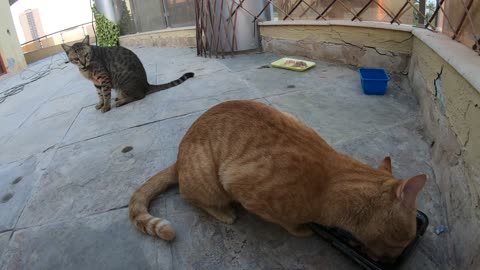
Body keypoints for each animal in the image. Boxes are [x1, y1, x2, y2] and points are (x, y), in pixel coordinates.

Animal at [62, 35, 193, 112]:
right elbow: (100, 94)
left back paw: (120, 101)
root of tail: (146, 85)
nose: (83, 63)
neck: (86, 69)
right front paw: (100, 103)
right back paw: (119, 98)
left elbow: (106, 94)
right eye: (76, 59)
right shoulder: (97, 82)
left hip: (124, 83)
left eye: (86, 55)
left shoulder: (103, 78)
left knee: (138, 96)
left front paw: (106, 106)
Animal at [128, 99, 428, 262]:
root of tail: (178, 156)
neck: (330, 184)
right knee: (192, 197)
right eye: (406, 238)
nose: (395, 258)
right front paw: (302, 229)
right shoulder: (243, 187)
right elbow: (287, 223)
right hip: (209, 180)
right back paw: (223, 212)